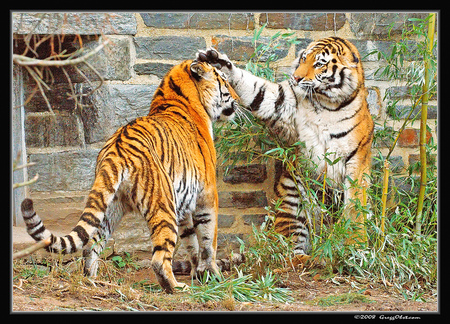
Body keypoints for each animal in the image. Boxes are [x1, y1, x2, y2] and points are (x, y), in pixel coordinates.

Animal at [20, 60, 239, 294]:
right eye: (224, 80)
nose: (237, 97)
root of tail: (115, 149)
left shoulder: (184, 206)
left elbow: (191, 241)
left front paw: (198, 273)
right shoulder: (207, 194)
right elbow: (208, 240)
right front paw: (213, 276)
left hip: (110, 208)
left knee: (90, 246)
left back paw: (93, 282)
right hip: (163, 204)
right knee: (159, 258)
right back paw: (176, 288)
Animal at [199, 36, 374, 256]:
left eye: (319, 64)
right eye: (303, 59)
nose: (296, 78)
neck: (327, 103)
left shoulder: (356, 159)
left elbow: (355, 205)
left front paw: (356, 246)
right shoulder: (283, 101)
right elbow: (256, 90)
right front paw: (218, 62)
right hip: (292, 201)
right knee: (288, 251)